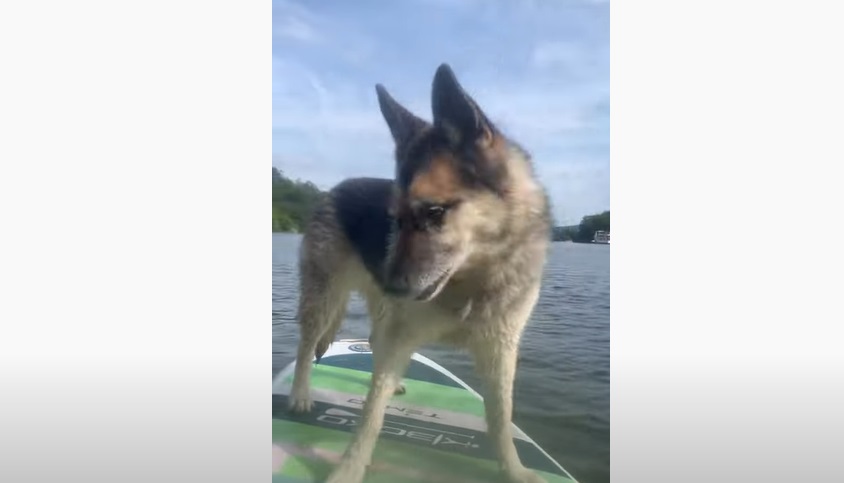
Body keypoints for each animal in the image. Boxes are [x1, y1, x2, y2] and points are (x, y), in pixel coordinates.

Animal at [290, 64, 552, 483]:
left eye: (434, 212)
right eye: (395, 219)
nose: (390, 282)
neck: (474, 279)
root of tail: (337, 187)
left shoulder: (500, 349)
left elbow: (501, 418)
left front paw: (514, 470)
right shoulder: (403, 332)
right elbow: (370, 415)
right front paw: (349, 468)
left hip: (378, 309)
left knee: (373, 341)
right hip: (325, 298)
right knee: (306, 347)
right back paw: (300, 394)